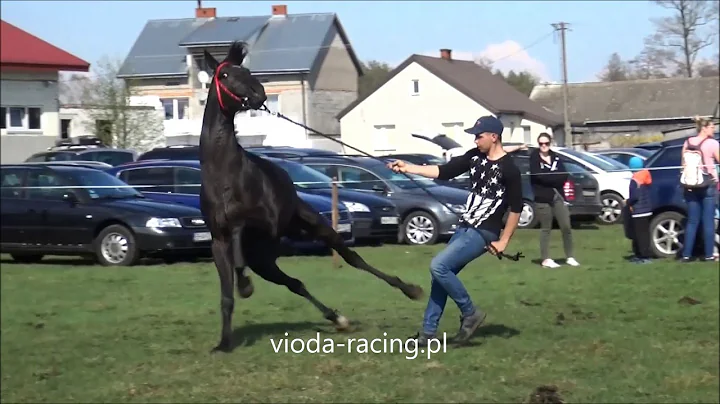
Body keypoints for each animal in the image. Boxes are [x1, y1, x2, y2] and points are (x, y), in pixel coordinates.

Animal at [198, 40, 422, 350]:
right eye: (225, 75)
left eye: (247, 70)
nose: (260, 94)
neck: (223, 174)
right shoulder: (219, 242)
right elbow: (227, 295)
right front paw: (224, 343)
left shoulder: (263, 223)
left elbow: (240, 236)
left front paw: (245, 286)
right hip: (265, 261)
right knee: (295, 283)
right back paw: (338, 319)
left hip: (312, 227)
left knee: (353, 259)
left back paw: (409, 290)